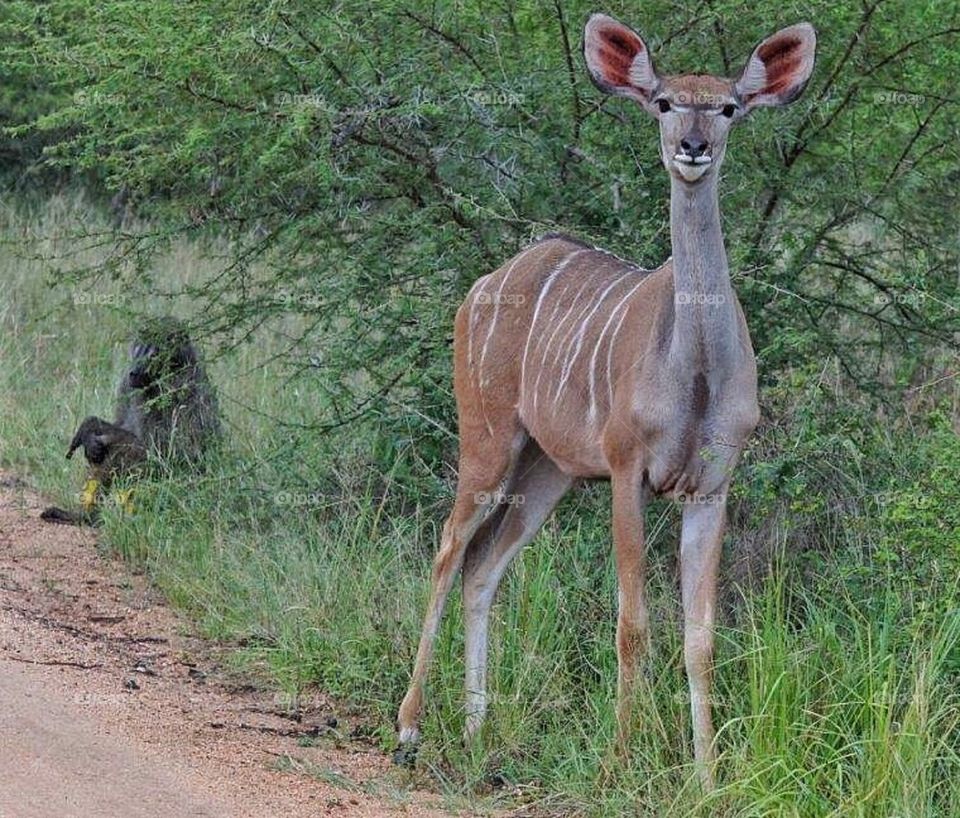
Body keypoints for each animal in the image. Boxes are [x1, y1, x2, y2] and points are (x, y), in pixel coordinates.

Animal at [400, 12, 816, 788]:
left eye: (728, 108)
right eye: (663, 102)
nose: (692, 147)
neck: (696, 373)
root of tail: (484, 286)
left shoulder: (711, 486)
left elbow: (700, 637)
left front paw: (707, 777)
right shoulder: (628, 473)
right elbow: (633, 625)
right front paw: (621, 760)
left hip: (547, 472)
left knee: (482, 570)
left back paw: (475, 730)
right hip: (488, 441)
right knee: (447, 552)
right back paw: (409, 727)